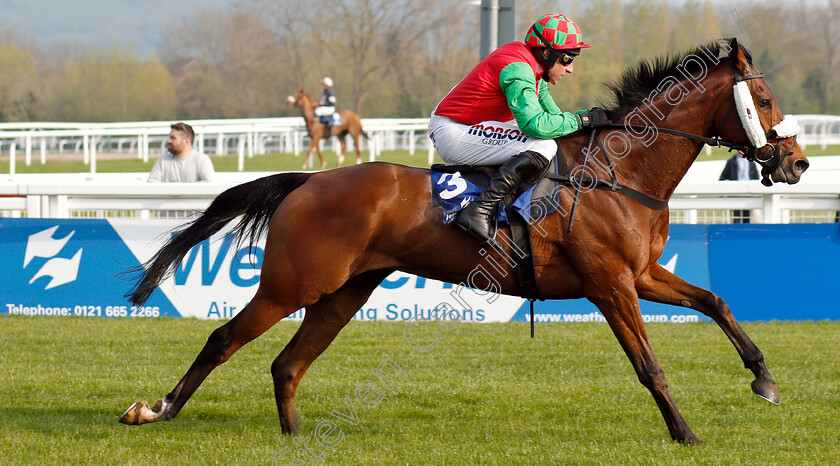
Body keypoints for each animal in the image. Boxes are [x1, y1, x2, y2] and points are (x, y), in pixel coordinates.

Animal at [120, 38, 808, 442]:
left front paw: (764, 380)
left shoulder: (640, 274)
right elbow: (650, 365)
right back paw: (156, 409)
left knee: (288, 362)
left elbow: (716, 302)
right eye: (764, 97)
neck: (618, 174)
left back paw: (291, 436)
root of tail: (309, 181)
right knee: (223, 339)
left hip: (342, 293)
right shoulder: (610, 284)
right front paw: (685, 431)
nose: (797, 163)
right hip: (293, 284)